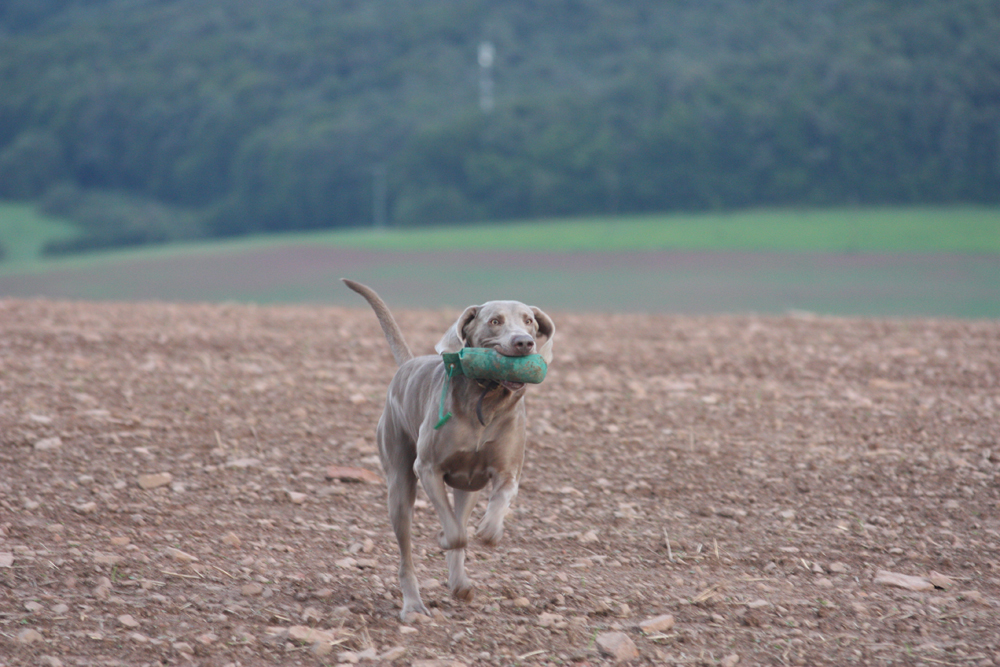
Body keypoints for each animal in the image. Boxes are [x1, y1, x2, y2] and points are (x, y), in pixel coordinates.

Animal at [346, 280, 556, 620]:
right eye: (494, 321)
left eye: (529, 321)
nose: (524, 342)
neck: (487, 399)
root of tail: (408, 363)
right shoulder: (428, 468)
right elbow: (455, 534)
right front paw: (445, 537)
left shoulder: (507, 471)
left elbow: (498, 504)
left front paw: (490, 531)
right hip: (399, 484)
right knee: (408, 552)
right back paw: (413, 605)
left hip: (466, 487)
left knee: (461, 520)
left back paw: (460, 584)